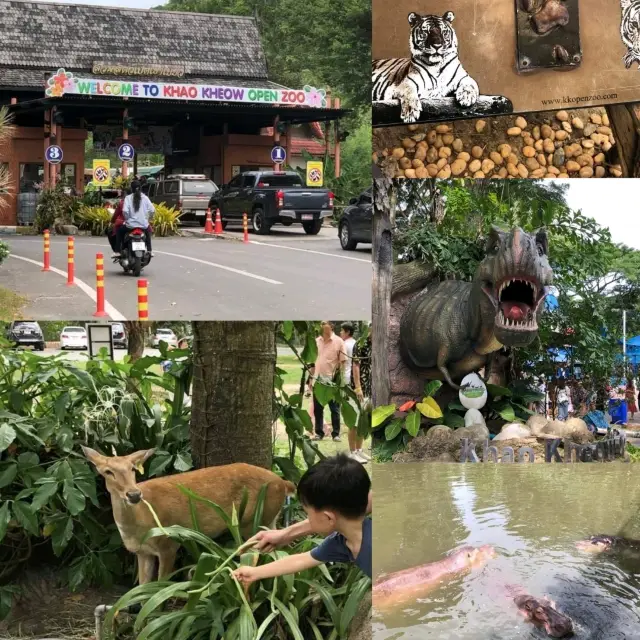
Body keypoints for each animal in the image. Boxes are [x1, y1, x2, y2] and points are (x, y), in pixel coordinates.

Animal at [80, 448, 298, 584]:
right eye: (108, 471)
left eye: (133, 469)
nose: (134, 494)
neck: (140, 524)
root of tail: (283, 483)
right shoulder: (142, 553)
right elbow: (141, 589)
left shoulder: (168, 544)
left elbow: (157, 588)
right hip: (269, 519)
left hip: (253, 521)